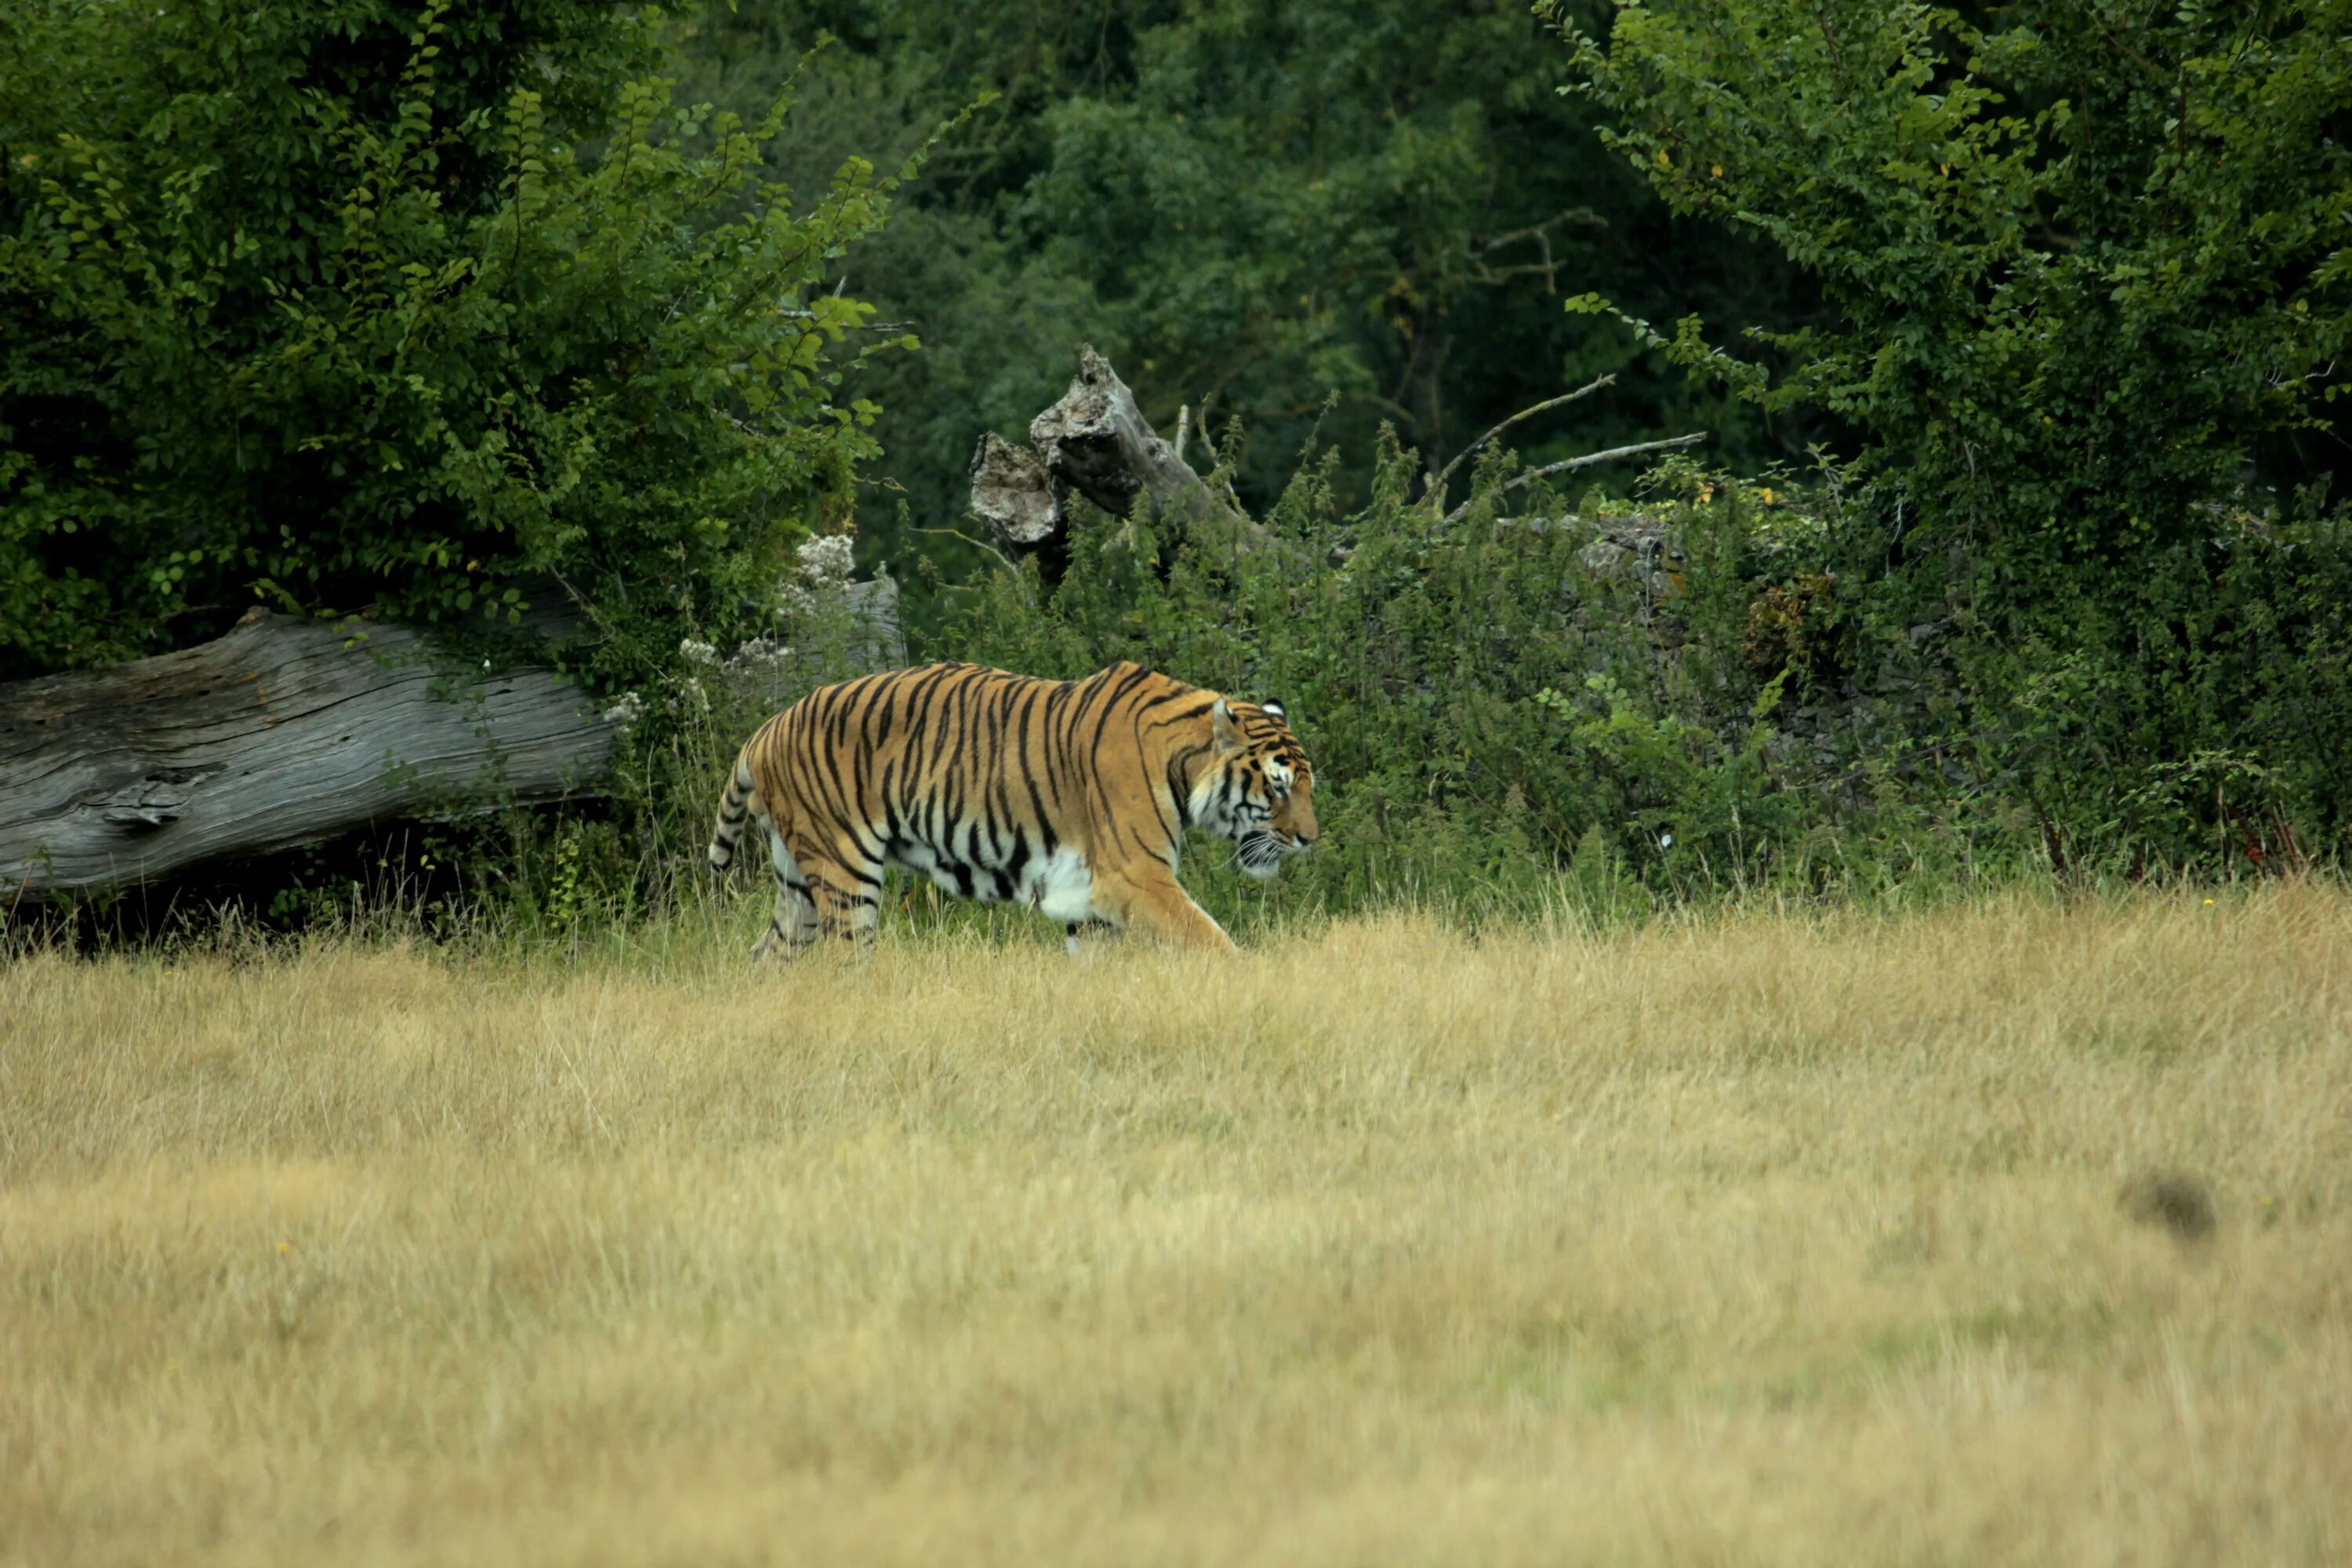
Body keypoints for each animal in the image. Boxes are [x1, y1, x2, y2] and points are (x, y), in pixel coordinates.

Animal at [696, 658, 1327, 964]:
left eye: (1307, 787)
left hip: (797, 885)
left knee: (764, 956)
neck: (1181, 760)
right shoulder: (1137, 878)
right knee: (846, 961)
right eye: (1277, 787)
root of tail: (765, 731)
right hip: (844, 873)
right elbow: (1209, 938)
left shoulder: (1091, 900)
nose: (1310, 840)